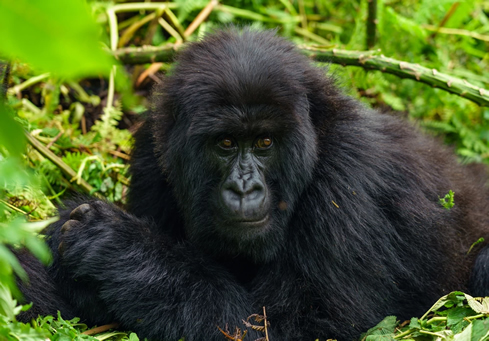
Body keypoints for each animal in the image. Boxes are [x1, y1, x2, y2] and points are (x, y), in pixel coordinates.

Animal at [17, 27, 488, 338]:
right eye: (225, 143)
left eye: (265, 142)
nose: (245, 188)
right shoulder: (154, 151)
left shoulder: (350, 171)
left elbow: (288, 327)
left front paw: (113, 244)